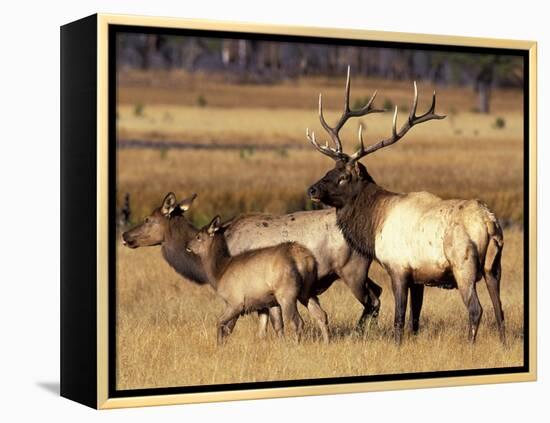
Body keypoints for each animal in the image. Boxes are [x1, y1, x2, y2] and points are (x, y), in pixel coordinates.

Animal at [188, 215, 330, 344]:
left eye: (198, 236)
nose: (187, 245)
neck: (219, 273)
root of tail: (307, 260)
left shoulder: (235, 301)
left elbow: (220, 323)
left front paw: (219, 345)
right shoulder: (265, 303)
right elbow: (267, 330)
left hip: (286, 293)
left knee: (297, 322)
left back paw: (296, 345)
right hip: (307, 291)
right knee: (321, 315)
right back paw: (326, 342)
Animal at [308, 65, 506, 344]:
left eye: (343, 176)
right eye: (330, 169)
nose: (312, 189)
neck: (374, 223)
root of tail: (489, 222)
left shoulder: (398, 268)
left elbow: (399, 318)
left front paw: (397, 345)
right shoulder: (418, 277)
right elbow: (415, 319)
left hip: (463, 264)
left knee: (476, 309)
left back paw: (471, 345)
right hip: (494, 266)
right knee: (500, 310)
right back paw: (504, 345)